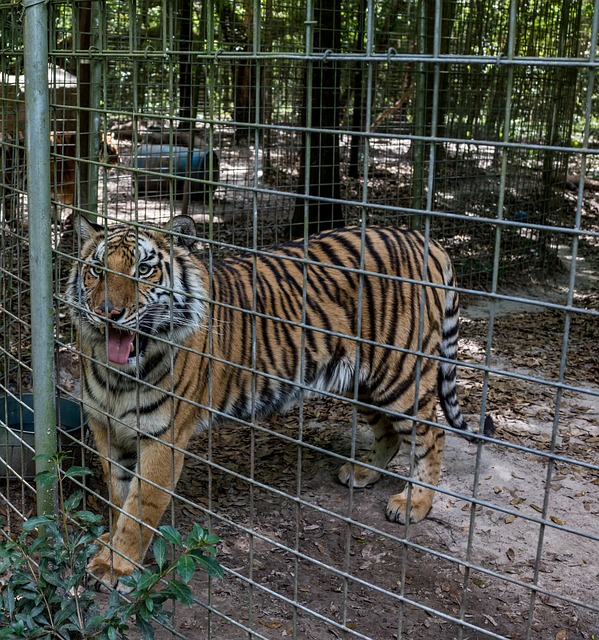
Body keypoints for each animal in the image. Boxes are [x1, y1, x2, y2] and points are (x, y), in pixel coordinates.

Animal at [68, 218, 494, 588]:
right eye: (96, 270)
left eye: (143, 270)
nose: (108, 312)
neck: (120, 375)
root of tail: (421, 237)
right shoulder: (107, 427)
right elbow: (118, 496)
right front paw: (109, 546)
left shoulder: (164, 438)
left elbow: (140, 507)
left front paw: (116, 566)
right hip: (363, 381)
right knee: (388, 433)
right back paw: (361, 472)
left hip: (400, 376)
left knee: (431, 437)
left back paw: (414, 503)